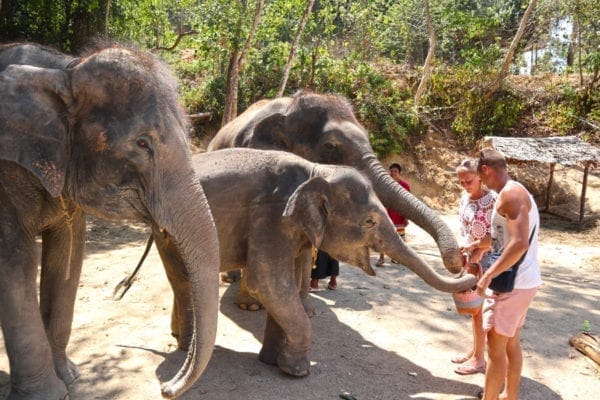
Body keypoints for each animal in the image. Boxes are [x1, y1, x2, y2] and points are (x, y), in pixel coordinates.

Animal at [0, 43, 220, 400]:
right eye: (142, 143)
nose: (165, 387)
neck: (64, 70)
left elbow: (68, 254)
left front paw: (70, 378)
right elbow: (14, 262)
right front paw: (48, 394)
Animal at [138, 149, 476, 378]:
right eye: (369, 221)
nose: (466, 268)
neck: (317, 171)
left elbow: (281, 285)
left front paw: (271, 361)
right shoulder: (271, 216)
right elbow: (267, 283)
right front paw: (296, 371)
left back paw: (179, 338)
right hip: (173, 231)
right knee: (183, 280)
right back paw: (186, 347)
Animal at [210, 91, 464, 310]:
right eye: (331, 146)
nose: (457, 262)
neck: (290, 106)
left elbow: (304, 246)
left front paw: (305, 307)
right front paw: (251, 307)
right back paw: (231, 279)